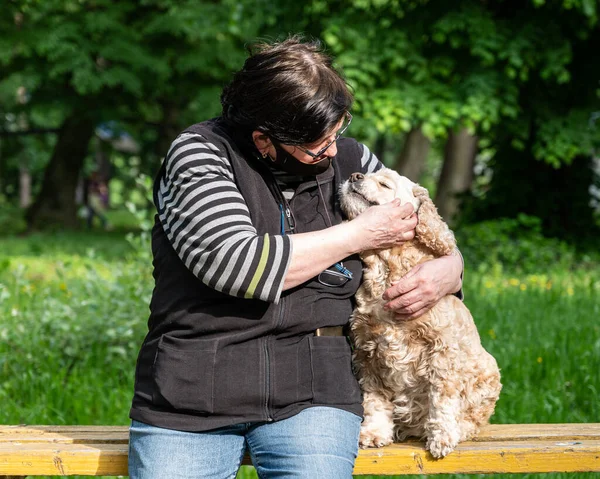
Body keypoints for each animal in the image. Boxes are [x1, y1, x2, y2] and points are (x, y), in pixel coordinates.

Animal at [338, 168, 502, 458]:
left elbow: (442, 398)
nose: (355, 175)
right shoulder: (368, 353)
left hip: (489, 371)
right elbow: (375, 400)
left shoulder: (442, 350)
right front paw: (374, 432)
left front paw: (442, 436)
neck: (385, 270)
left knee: (474, 418)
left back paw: (458, 429)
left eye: (385, 184)